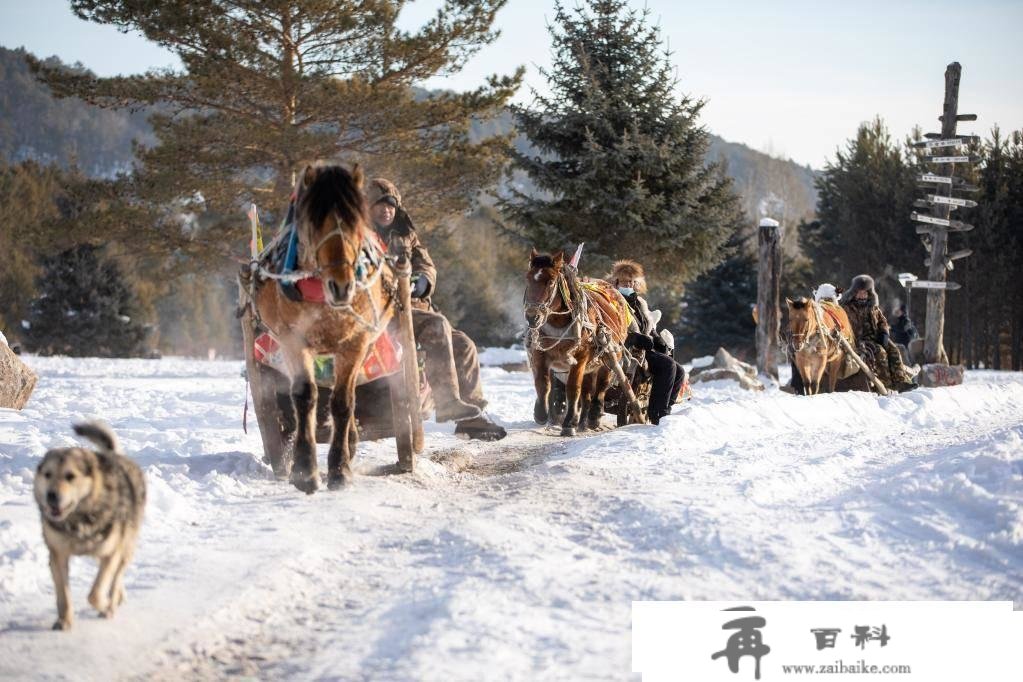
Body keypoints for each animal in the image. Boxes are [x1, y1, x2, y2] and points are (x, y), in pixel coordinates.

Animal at [34, 423, 145, 633]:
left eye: (70, 476)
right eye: (47, 475)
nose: (51, 495)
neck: (78, 519)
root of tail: (115, 456)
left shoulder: (111, 553)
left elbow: (94, 594)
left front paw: (106, 607)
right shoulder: (57, 555)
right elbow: (63, 595)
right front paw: (64, 621)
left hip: (126, 546)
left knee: (117, 576)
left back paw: (113, 600)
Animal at [245, 161, 396, 490]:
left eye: (356, 223)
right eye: (315, 224)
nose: (341, 286)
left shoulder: (356, 342)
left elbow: (343, 402)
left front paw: (340, 468)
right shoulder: (292, 339)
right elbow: (305, 396)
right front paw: (304, 469)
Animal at [527, 250, 630, 437]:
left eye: (551, 281)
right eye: (528, 278)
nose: (532, 317)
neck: (558, 323)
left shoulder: (580, 358)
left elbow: (573, 389)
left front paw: (568, 424)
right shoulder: (540, 353)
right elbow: (542, 383)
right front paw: (541, 413)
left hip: (610, 355)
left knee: (601, 386)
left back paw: (593, 416)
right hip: (591, 365)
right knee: (587, 392)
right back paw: (581, 421)